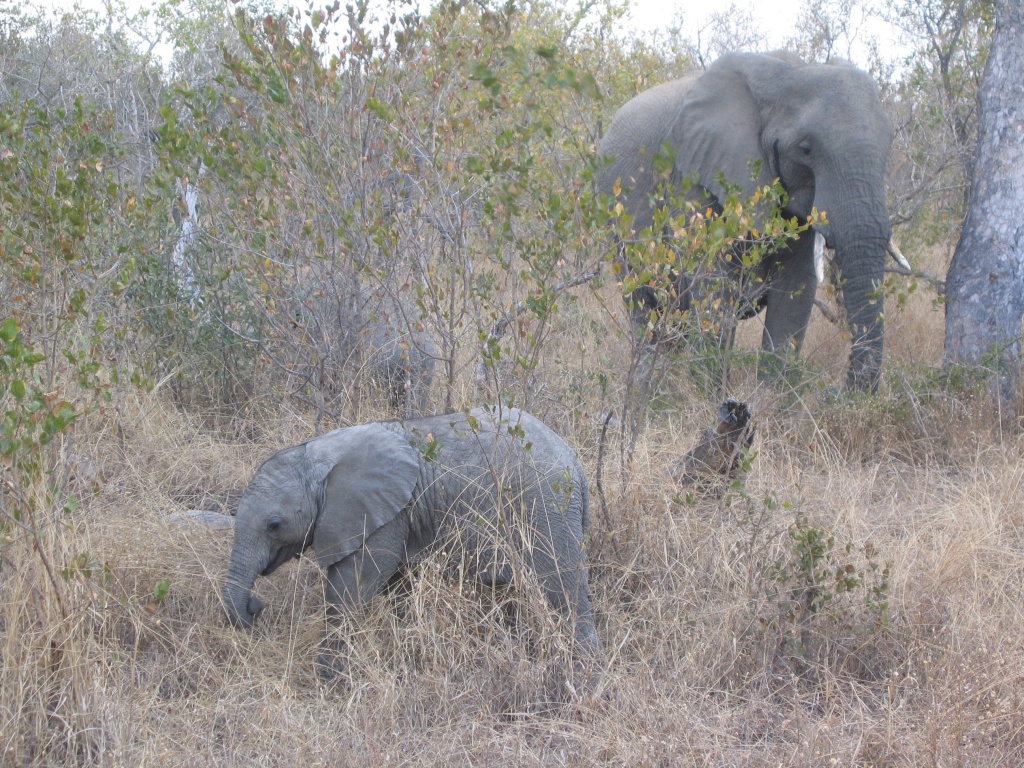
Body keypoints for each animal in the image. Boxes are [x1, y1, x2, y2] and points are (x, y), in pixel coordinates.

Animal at [223, 405, 601, 679]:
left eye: (274, 525)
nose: (255, 607)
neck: (317, 452)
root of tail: (577, 465)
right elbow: (396, 588)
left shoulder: (383, 516)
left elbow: (350, 589)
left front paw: (330, 679)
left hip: (546, 508)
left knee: (562, 592)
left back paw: (583, 675)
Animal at [598, 51, 906, 391]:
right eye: (805, 149)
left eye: (890, 142)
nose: (836, 391)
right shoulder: (693, 175)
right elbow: (712, 283)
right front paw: (711, 398)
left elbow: (795, 290)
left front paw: (770, 400)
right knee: (647, 309)